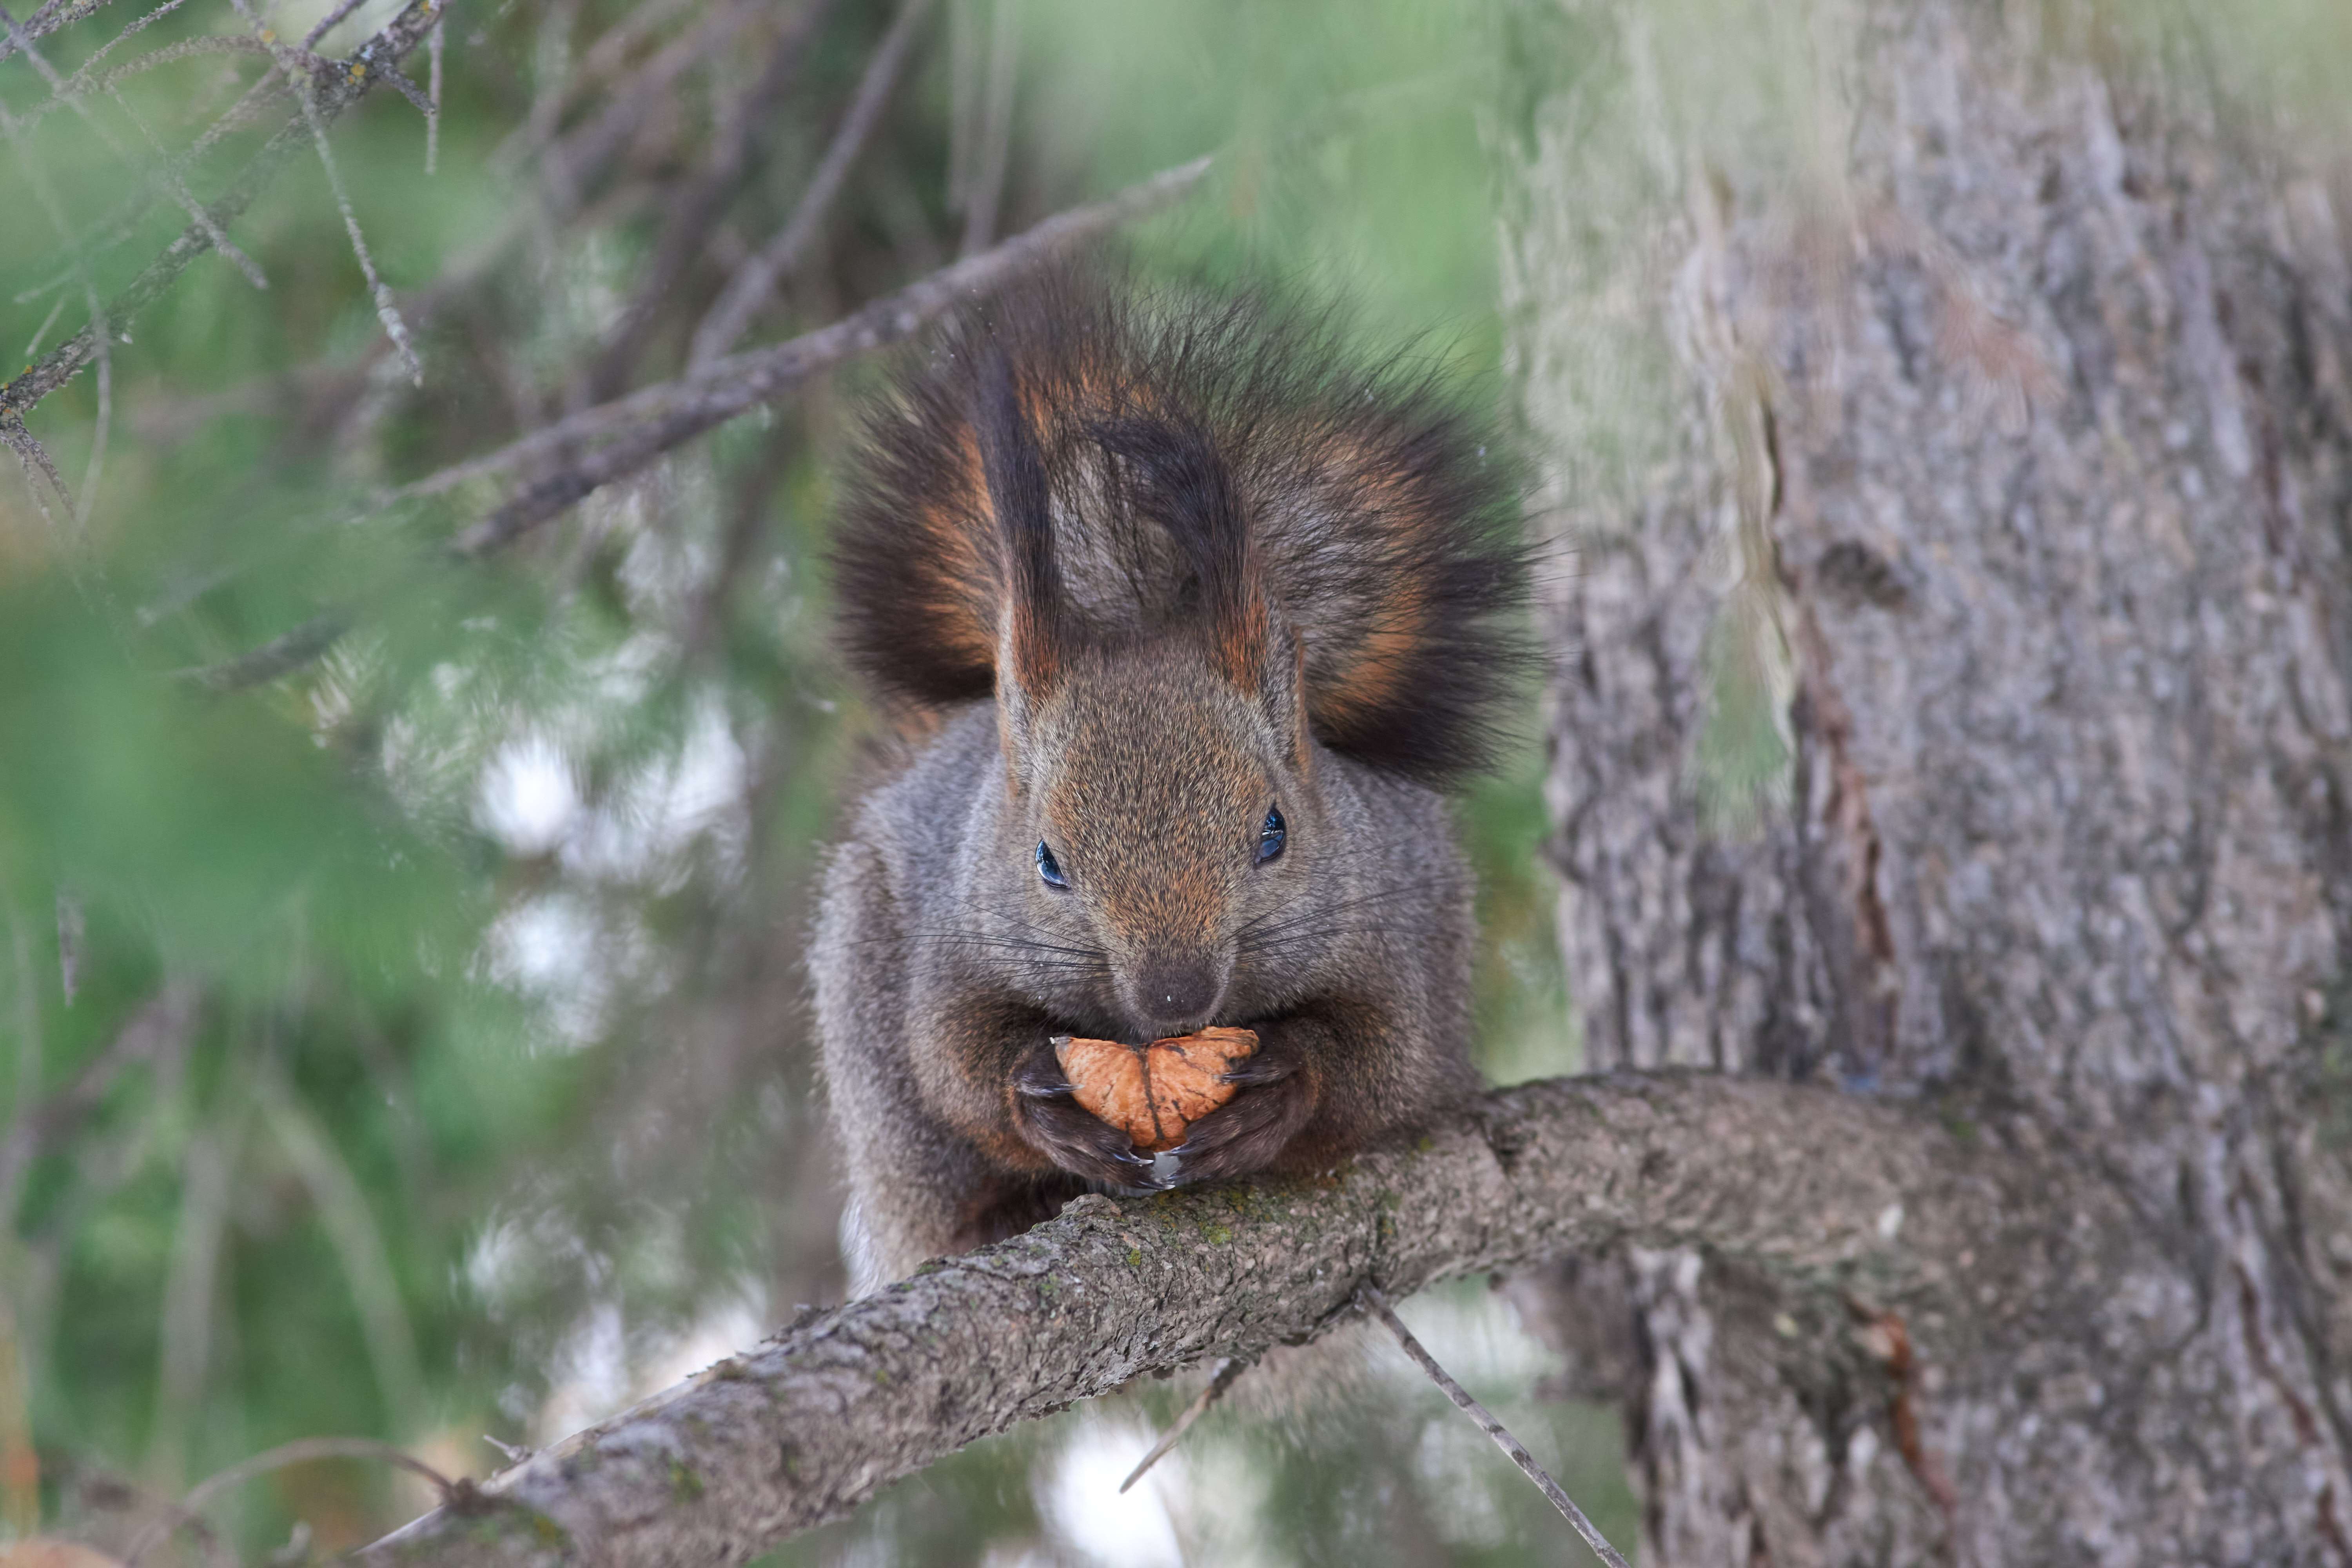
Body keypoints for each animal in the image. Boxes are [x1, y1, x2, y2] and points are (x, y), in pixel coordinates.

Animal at [814, 263, 1524, 1298]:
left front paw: (1285, 1083)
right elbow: (953, 1056)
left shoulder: (1390, 929)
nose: (1176, 997)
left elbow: (1382, 1058)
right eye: (1048, 861)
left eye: (1274, 831)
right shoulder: (957, 935)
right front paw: (1036, 1093)